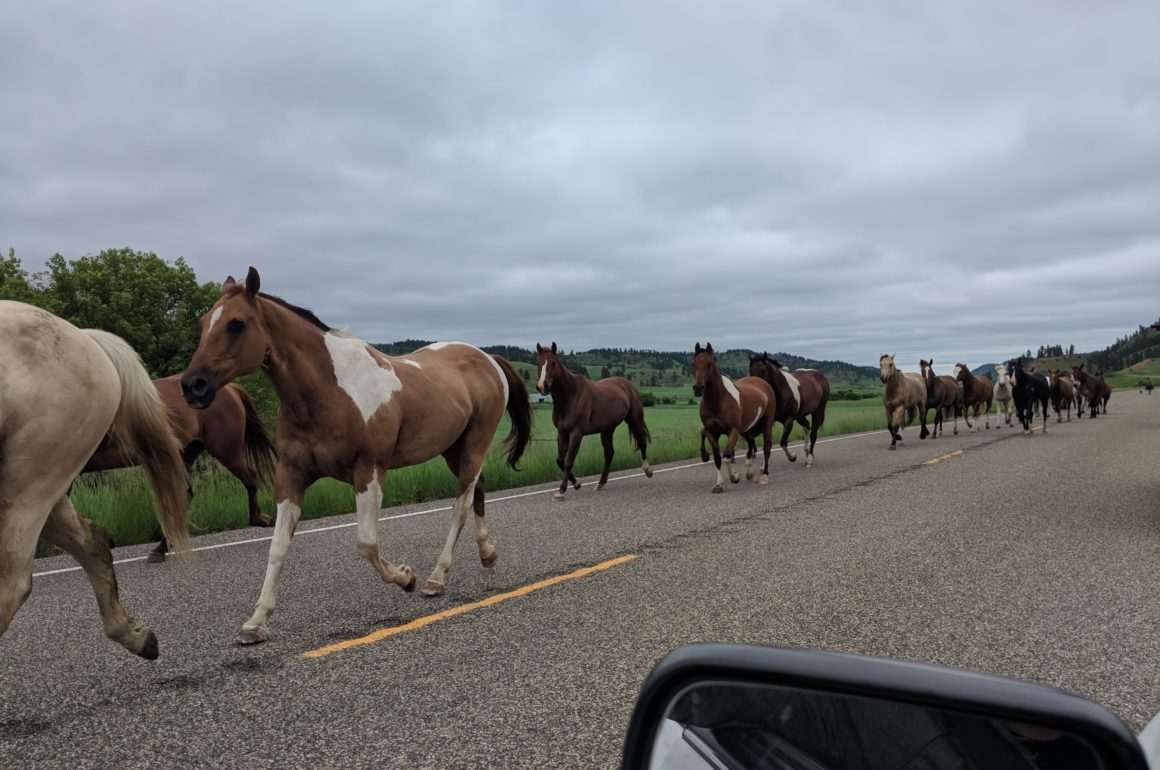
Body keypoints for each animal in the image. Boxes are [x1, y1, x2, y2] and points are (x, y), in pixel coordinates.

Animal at [82, 378, 277, 563]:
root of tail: (231, 388)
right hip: (186, 453)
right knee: (184, 495)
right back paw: (160, 549)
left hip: (226, 450)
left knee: (250, 478)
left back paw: (261, 519)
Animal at [178, 269, 531, 644]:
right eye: (203, 323)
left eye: (237, 324)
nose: (192, 385)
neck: (329, 391)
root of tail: (489, 359)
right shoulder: (291, 476)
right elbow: (278, 548)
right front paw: (256, 621)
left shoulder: (369, 472)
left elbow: (366, 543)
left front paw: (406, 577)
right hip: (454, 449)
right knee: (478, 490)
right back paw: (487, 554)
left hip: (475, 445)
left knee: (460, 506)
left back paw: (436, 577)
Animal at [533, 340, 654, 498]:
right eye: (538, 363)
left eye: (553, 363)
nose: (543, 386)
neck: (570, 395)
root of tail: (628, 385)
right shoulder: (562, 433)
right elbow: (560, 461)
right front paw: (576, 483)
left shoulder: (576, 433)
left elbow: (568, 461)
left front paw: (562, 489)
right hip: (607, 429)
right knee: (609, 453)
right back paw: (600, 483)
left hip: (634, 420)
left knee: (641, 442)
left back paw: (648, 470)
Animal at [691, 343, 774, 494]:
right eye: (693, 364)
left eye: (709, 363)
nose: (698, 388)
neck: (717, 401)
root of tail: (763, 383)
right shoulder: (712, 432)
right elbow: (718, 458)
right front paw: (718, 484)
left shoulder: (733, 431)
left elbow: (727, 456)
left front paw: (734, 477)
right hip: (746, 429)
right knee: (751, 443)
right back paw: (749, 472)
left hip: (767, 423)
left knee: (766, 447)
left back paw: (764, 475)